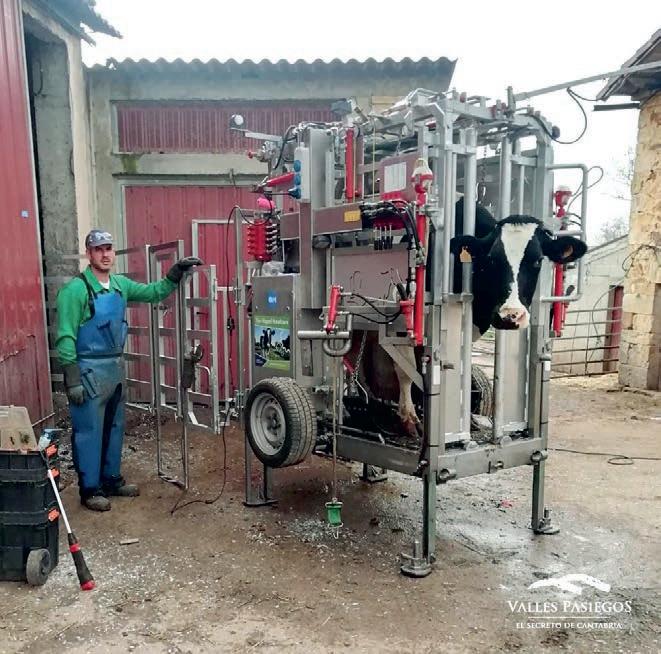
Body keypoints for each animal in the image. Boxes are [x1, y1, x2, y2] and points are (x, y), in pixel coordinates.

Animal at [347, 199, 587, 436]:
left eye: (537, 261)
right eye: (492, 259)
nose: (510, 316)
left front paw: (464, 420)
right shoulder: (401, 314)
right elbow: (406, 370)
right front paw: (410, 419)